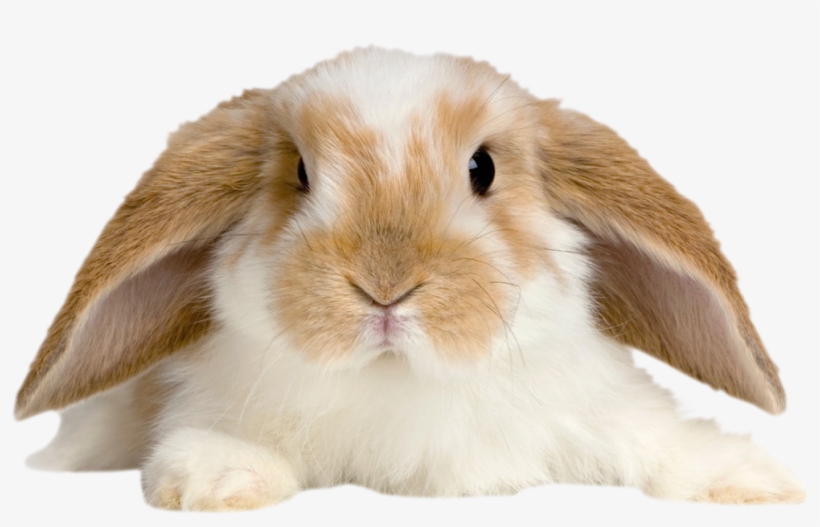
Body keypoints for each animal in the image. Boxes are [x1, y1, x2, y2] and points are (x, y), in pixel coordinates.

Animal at [15, 47, 805, 511]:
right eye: (299, 173)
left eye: (483, 168)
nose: (385, 286)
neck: (400, 379)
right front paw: (217, 476)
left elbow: (654, 439)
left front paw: (748, 480)